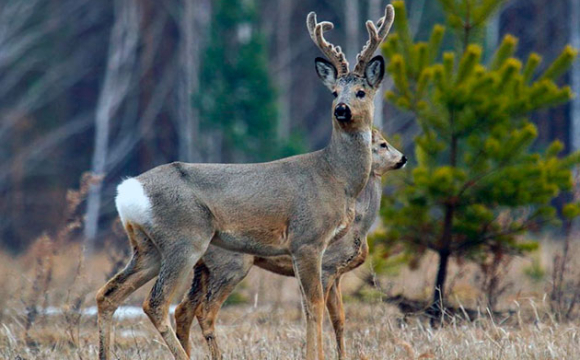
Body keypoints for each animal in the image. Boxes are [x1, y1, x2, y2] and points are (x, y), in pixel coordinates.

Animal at [174, 130, 406, 360]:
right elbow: (320, 313)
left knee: (182, 309)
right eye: (383, 144)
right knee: (203, 311)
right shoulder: (327, 266)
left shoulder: (337, 274)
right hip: (230, 264)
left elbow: (340, 319)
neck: (359, 225)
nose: (403, 158)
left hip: (203, 268)